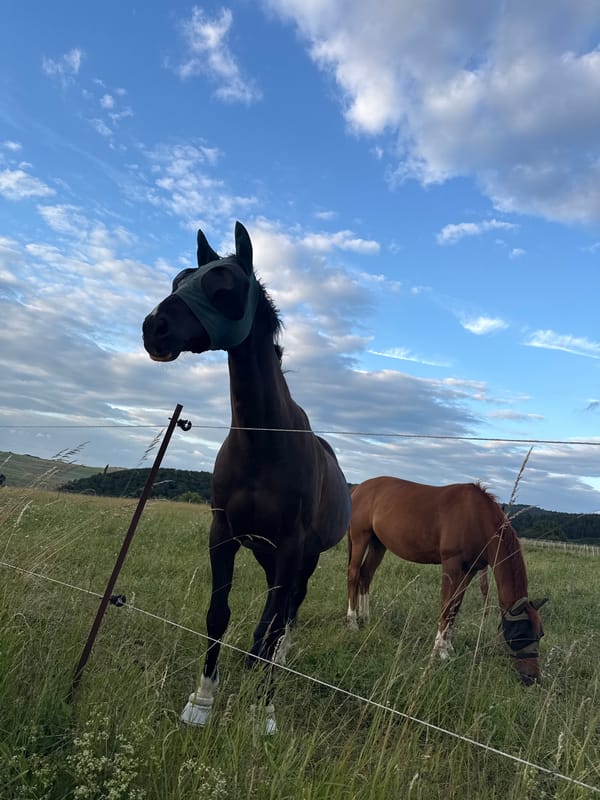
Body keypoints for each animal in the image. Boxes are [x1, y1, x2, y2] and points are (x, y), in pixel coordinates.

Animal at [142, 222, 352, 729]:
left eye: (225, 285)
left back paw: (279, 662)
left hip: (302, 558)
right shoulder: (223, 534)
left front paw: (263, 711)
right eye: (180, 279)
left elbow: (270, 624)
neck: (262, 443)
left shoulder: (292, 546)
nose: (154, 327)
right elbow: (218, 614)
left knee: (289, 611)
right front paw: (202, 702)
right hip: (264, 553)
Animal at [346, 476, 547, 684]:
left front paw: (448, 645)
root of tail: (358, 488)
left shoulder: (470, 570)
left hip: (378, 544)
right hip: (361, 538)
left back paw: (365, 617)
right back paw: (352, 621)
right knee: (354, 575)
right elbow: (446, 605)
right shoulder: (451, 564)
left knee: (366, 576)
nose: (533, 678)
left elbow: (455, 607)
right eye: (520, 634)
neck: (477, 517)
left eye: (540, 634)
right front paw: (440, 650)